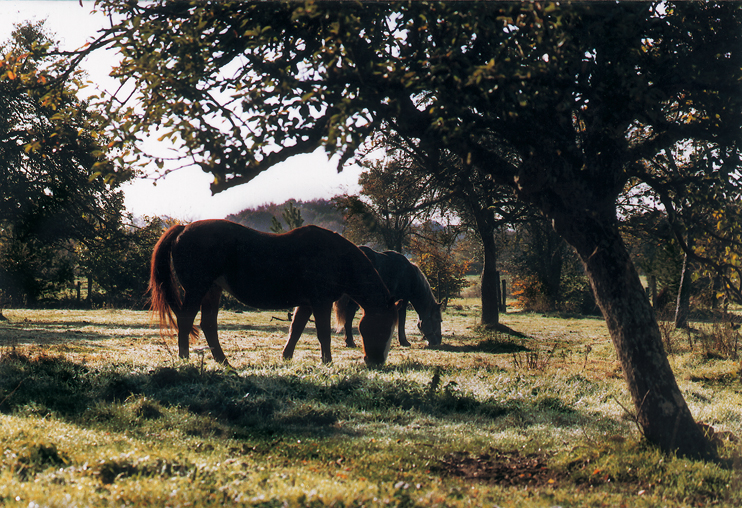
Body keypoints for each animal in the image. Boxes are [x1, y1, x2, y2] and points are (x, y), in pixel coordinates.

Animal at [150, 220, 402, 368]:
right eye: (384, 328)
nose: (376, 362)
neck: (337, 258)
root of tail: (183, 228)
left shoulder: (307, 303)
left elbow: (296, 329)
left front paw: (286, 357)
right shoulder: (320, 302)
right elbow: (323, 334)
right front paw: (327, 362)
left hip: (212, 290)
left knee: (208, 325)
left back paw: (224, 362)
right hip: (197, 289)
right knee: (185, 321)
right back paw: (185, 358)